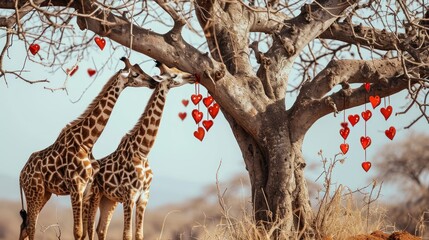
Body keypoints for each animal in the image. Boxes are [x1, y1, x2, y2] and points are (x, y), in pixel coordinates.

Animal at [18, 57, 158, 240]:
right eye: (135, 74)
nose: (154, 82)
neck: (87, 141)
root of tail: (21, 174)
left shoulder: (87, 189)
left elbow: (84, 232)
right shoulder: (76, 185)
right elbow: (78, 231)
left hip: (45, 193)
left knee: (25, 227)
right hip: (35, 191)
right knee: (31, 227)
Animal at [84, 62, 195, 240]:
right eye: (174, 75)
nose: (192, 76)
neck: (142, 151)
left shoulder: (144, 197)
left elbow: (139, 234)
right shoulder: (129, 196)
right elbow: (127, 234)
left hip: (109, 200)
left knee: (101, 229)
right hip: (93, 197)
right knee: (88, 229)